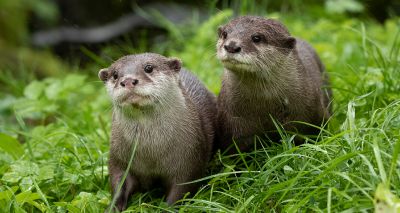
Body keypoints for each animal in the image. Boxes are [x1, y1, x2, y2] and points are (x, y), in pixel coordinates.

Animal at [98, 53, 216, 211]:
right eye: (115, 75)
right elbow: (118, 183)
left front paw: (166, 208)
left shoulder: (190, 161)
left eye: (149, 67)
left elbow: (181, 190)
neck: (151, 152)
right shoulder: (119, 157)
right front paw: (113, 207)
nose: (127, 80)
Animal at [216, 16, 332, 152]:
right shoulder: (232, 125)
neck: (267, 108)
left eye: (257, 38)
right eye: (225, 34)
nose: (231, 46)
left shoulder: (315, 114)